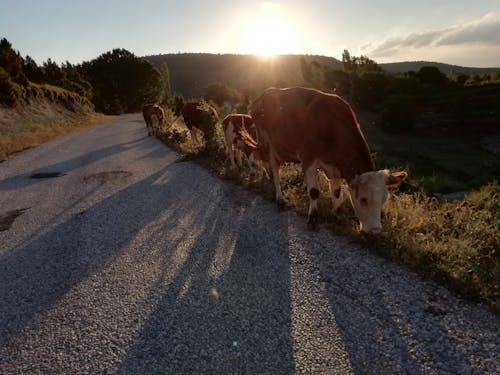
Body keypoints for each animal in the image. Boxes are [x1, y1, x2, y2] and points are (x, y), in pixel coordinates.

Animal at [250, 88, 406, 235]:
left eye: (384, 200)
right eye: (363, 199)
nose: (375, 230)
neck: (332, 129)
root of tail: (262, 95)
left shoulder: (335, 167)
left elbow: (336, 192)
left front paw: (336, 215)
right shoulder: (308, 158)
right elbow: (314, 191)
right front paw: (312, 219)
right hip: (267, 142)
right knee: (273, 168)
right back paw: (279, 199)